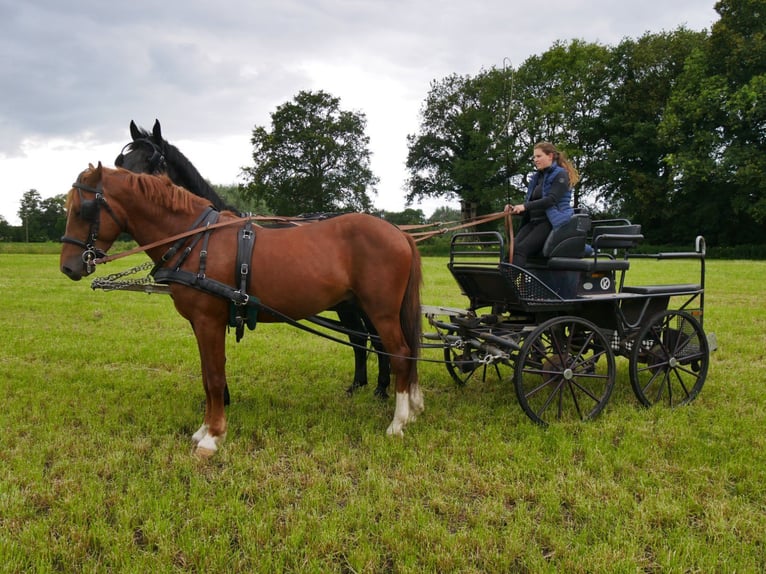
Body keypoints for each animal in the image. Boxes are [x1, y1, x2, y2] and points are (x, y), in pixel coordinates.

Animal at [61, 163, 426, 460]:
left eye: (83, 209)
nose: (68, 267)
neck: (196, 241)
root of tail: (399, 233)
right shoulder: (201, 324)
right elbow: (208, 374)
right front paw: (204, 429)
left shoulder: (208, 320)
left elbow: (213, 377)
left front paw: (212, 437)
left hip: (380, 311)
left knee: (398, 352)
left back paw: (397, 422)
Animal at [117, 121, 392, 400]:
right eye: (122, 161)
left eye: (153, 161)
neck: (206, 231)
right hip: (346, 304)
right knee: (359, 338)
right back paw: (357, 385)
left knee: (378, 339)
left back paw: (381, 389)